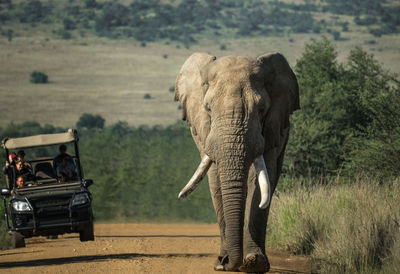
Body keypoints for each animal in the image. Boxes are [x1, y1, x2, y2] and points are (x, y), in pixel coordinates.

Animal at [173, 51, 298, 272]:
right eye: (208, 109)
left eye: (262, 109)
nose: (227, 263)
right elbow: (215, 180)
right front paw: (223, 262)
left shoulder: (272, 127)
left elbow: (260, 179)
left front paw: (255, 262)